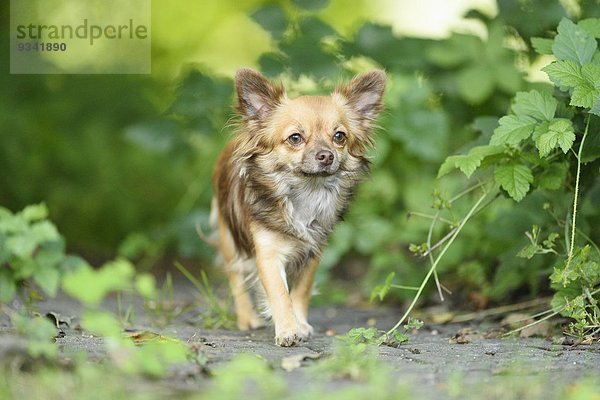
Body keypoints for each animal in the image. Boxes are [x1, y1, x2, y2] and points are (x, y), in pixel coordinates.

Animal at [211, 67, 386, 346]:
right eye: (295, 138)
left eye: (339, 136)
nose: (326, 155)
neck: (305, 193)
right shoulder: (268, 254)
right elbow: (280, 294)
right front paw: (287, 330)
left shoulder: (313, 252)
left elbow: (301, 291)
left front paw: (300, 324)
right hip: (228, 237)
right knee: (235, 276)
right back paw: (247, 318)